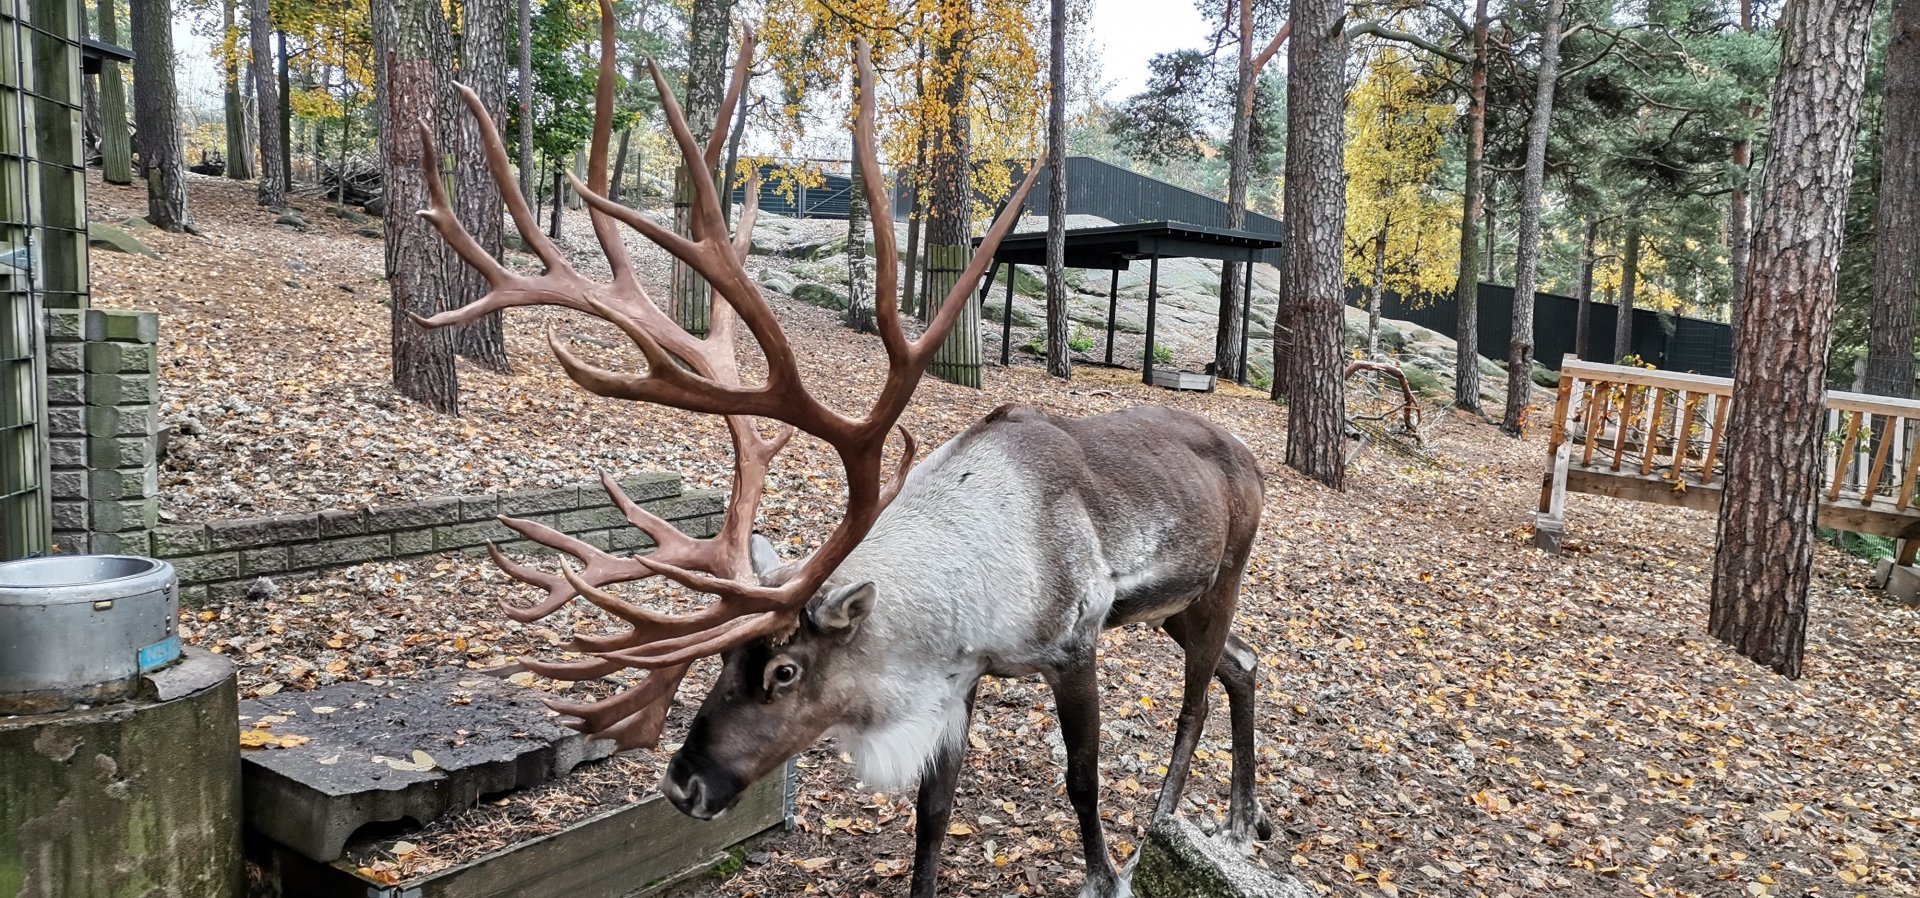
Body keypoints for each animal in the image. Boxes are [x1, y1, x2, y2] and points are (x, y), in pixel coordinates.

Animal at [411, 6, 1268, 896]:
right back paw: (1244, 817)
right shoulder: (959, 681)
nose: (682, 783)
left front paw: (1107, 872)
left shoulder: (1075, 642)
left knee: (1198, 698)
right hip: (1175, 606)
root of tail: (1249, 452)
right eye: (724, 661)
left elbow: (1082, 778)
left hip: (1223, 575)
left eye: (785, 671)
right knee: (1246, 663)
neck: (974, 597)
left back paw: (1167, 825)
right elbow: (932, 816)